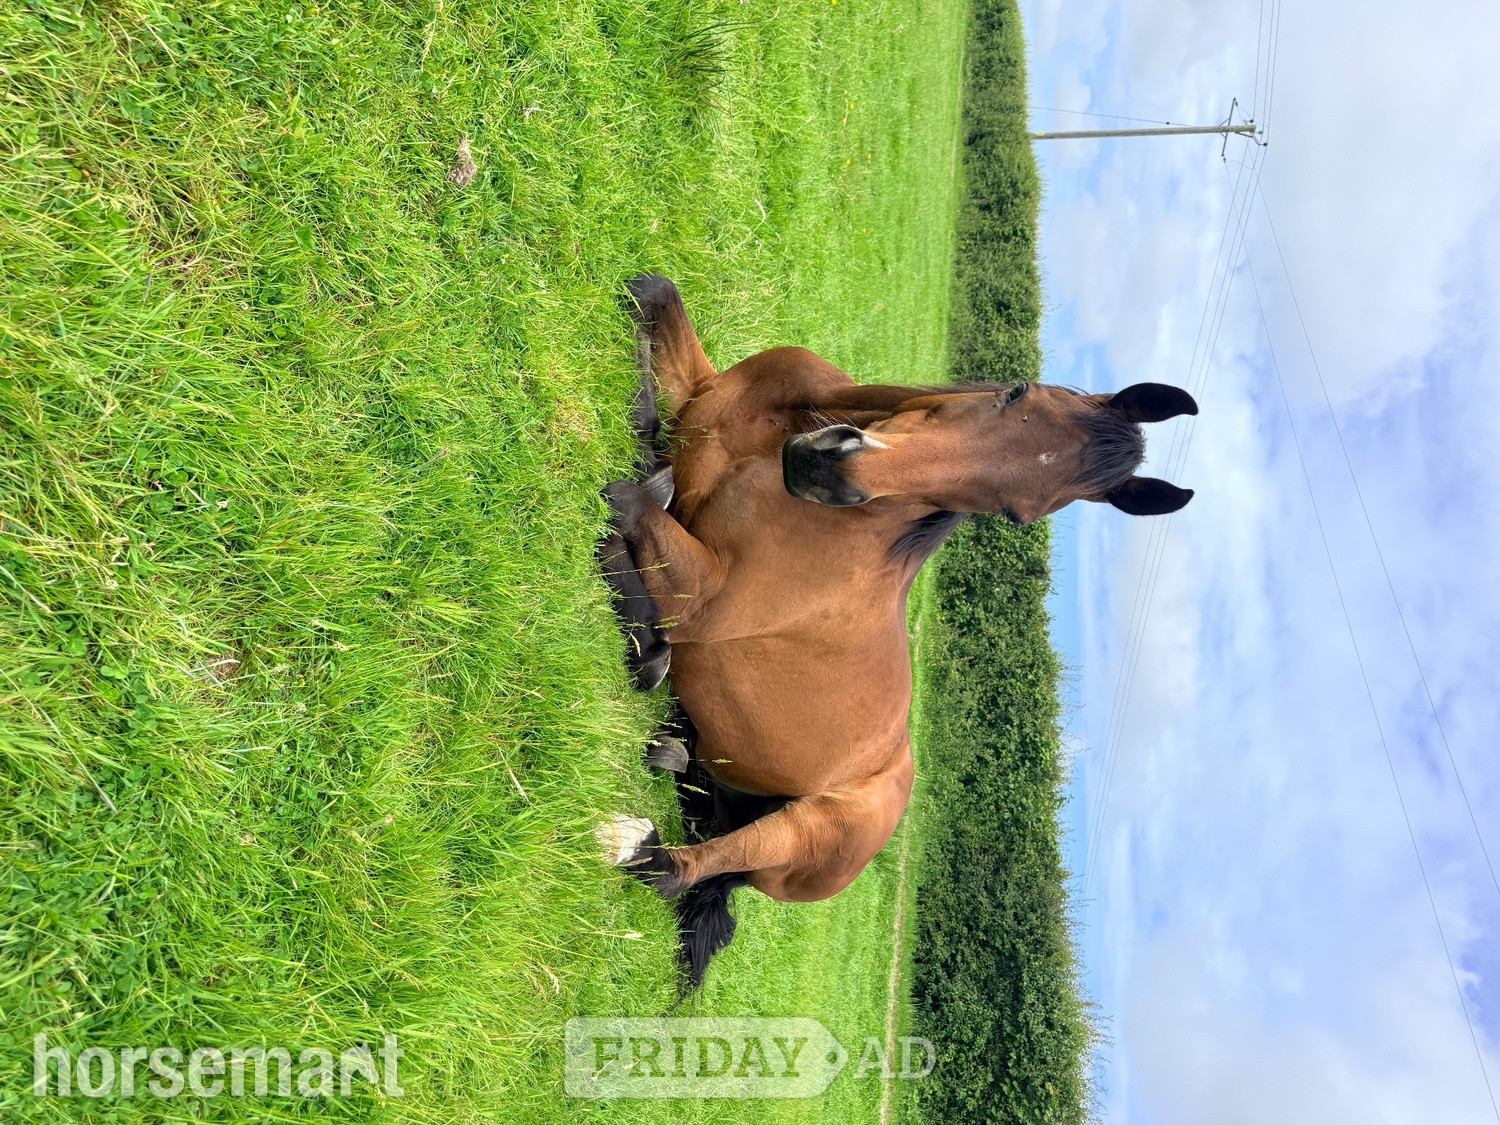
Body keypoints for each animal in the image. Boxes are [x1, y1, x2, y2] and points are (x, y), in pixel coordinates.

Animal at [596, 274, 1197, 984]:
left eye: (1016, 513)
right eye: (1016, 392)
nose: (827, 468)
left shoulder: (702, 597)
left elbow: (625, 501)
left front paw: (647, 640)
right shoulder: (703, 394)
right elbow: (654, 296)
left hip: (800, 838)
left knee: (689, 868)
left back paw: (636, 842)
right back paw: (667, 741)